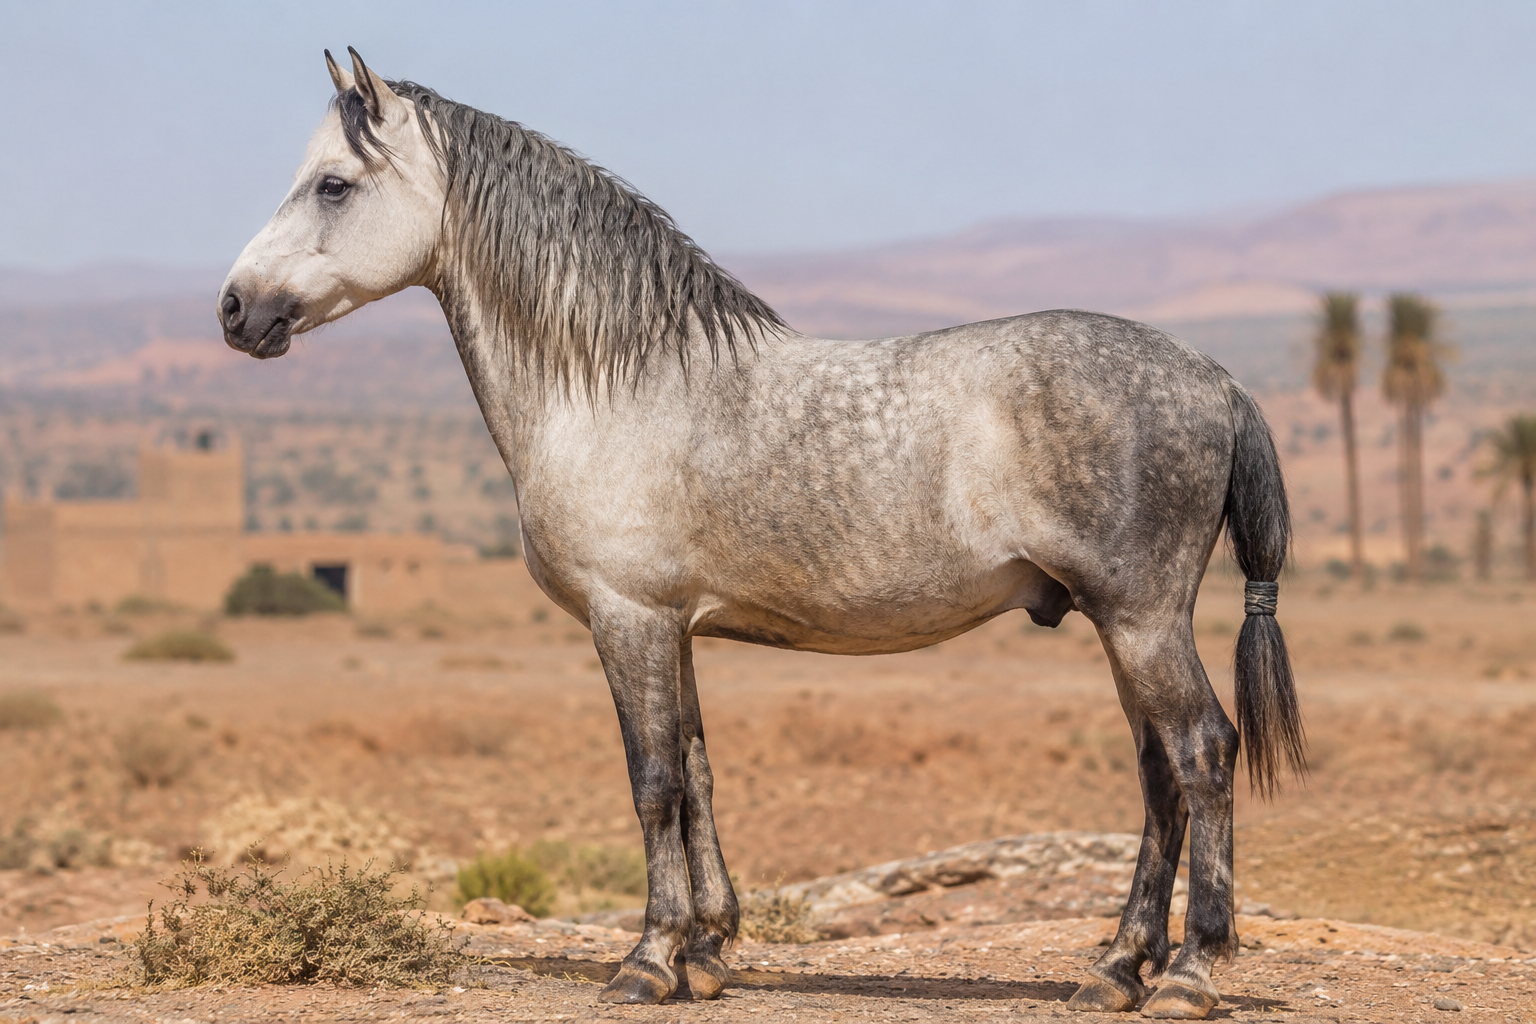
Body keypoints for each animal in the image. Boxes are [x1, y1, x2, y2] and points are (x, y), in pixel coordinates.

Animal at [218, 48, 1303, 1018]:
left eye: (333, 184)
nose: (234, 309)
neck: (615, 383)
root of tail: (1214, 377)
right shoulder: (674, 627)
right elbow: (698, 771)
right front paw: (706, 953)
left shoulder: (629, 619)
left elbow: (653, 781)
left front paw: (647, 961)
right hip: (1122, 626)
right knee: (1160, 775)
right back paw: (1116, 970)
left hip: (1141, 619)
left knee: (1201, 752)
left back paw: (1190, 975)